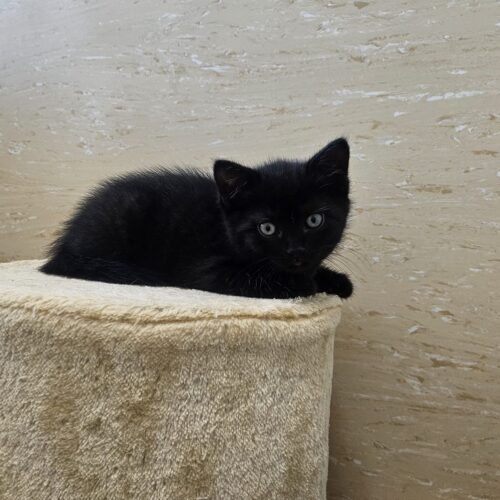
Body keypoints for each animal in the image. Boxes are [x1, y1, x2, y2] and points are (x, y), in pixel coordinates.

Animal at [40, 138, 353, 299]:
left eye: (314, 220)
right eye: (267, 228)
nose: (296, 251)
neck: (224, 228)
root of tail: (64, 246)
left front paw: (334, 280)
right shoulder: (204, 269)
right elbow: (258, 278)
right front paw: (305, 284)